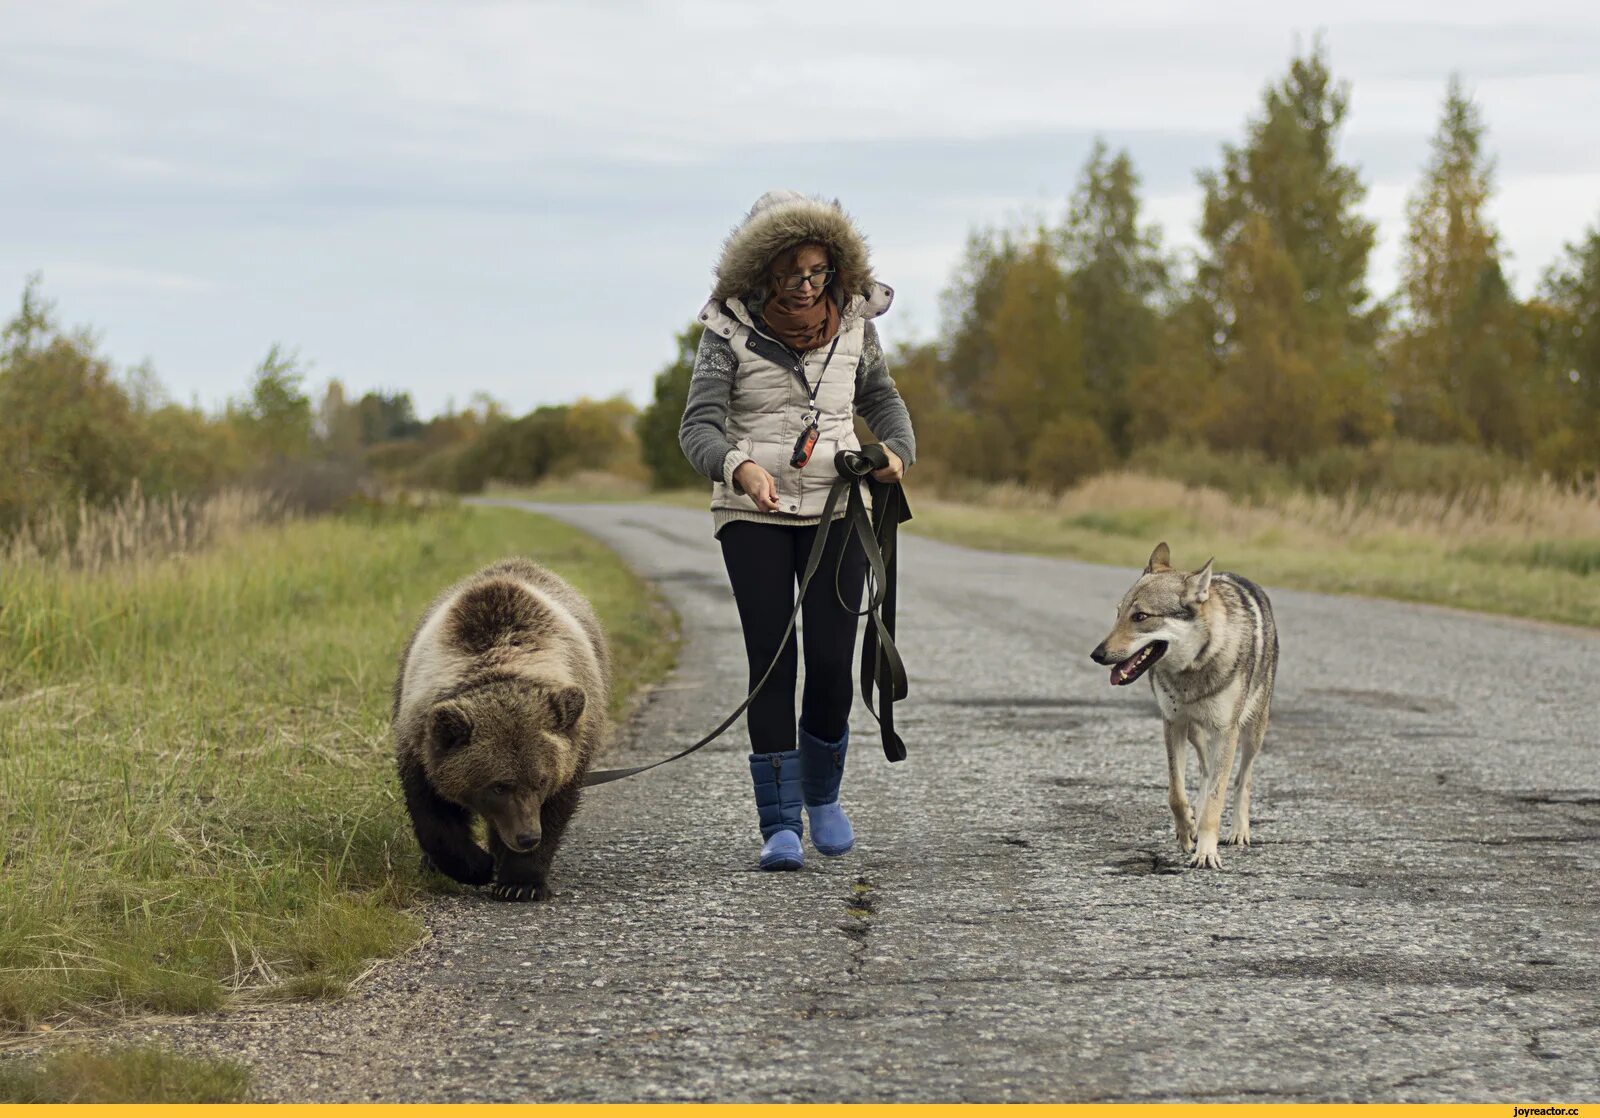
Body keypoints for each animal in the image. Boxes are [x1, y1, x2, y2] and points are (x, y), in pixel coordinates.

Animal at [390, 556, 608, 902]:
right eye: (498, 786)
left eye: (541, 780)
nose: (527, 837)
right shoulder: (420, 738)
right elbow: (431, 815)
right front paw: (478, 865)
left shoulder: (574, 743)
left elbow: (556, 807)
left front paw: (520, 882)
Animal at [1088, 547, 1273, 870]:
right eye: (1118, 613)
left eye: (1140, 616)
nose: (1097, 655)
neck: (1193, 669)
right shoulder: (1172, 723)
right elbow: (1176, 792)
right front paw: (1187, 830)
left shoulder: (1226, 732)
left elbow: (1217, 799)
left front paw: (1207, 853)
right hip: (1195, 733)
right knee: (1204, 771)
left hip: (1252, 733)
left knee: (1242, 779)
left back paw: (1238, 831)